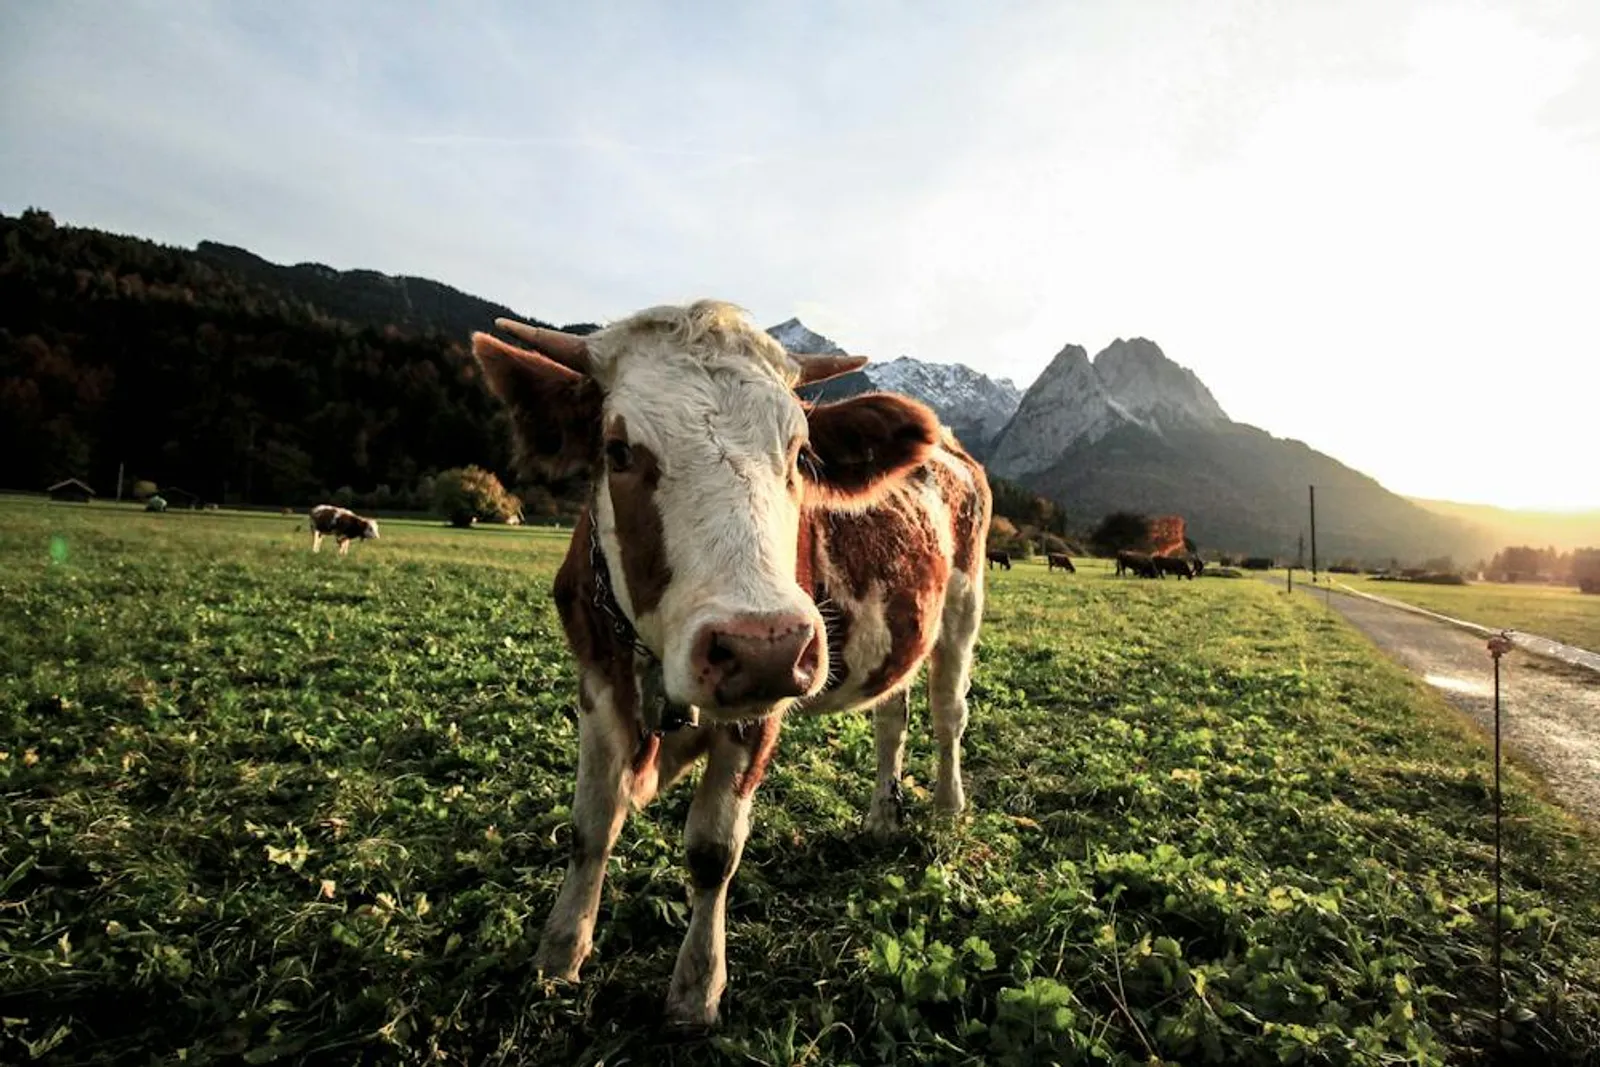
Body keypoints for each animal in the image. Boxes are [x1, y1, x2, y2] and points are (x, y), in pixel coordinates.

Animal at [467, 302, 985, 1036]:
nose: (762, 645)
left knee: (948, 716)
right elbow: (590, 825)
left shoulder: (760, 706)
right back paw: (884, 816)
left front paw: (696, 989)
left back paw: (945, 810)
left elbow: (713, 850)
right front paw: (560, 952)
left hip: (963, 607)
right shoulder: (596, 681)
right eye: (619, 451)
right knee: (893, 714)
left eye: (800, 453)